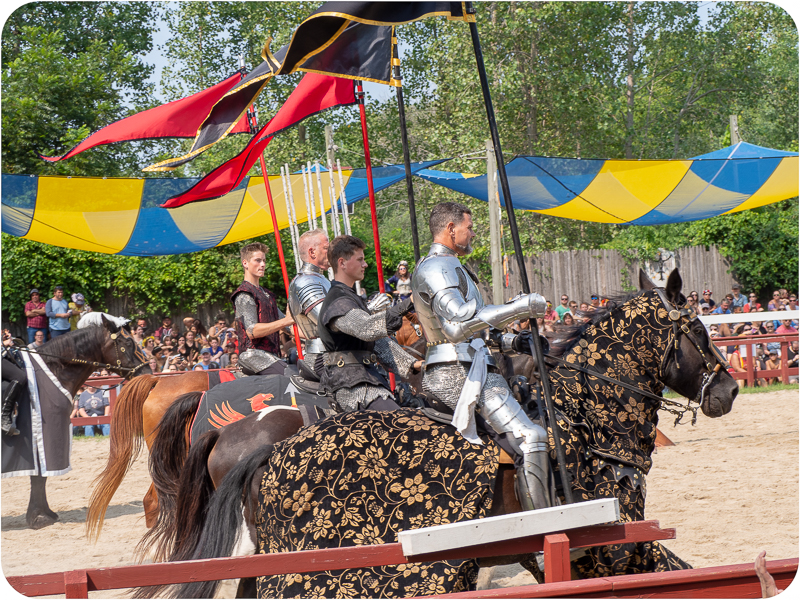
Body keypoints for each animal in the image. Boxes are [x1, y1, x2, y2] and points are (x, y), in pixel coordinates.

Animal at [1, 316, 150, 528]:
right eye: (128, 342)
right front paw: (38, 516)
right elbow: (39, 477)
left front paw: (44, 512)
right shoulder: (45, 438)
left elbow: (40, 478)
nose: (147, 371)